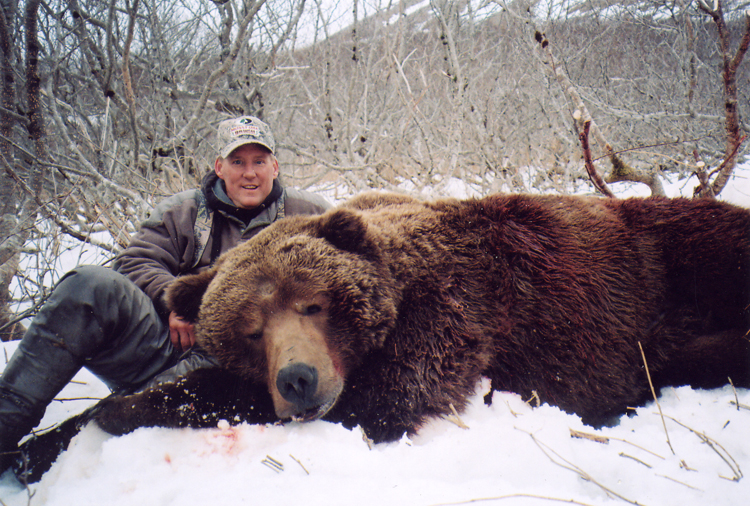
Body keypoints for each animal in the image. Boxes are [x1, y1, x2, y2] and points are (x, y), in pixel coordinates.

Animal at [13, 191, 750, 482]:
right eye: (252, 331)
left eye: (312, 304)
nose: (299, 379)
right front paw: (39, 444)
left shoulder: (450, 316)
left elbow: (384, 401)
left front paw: (119, 410)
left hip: (681, 249)